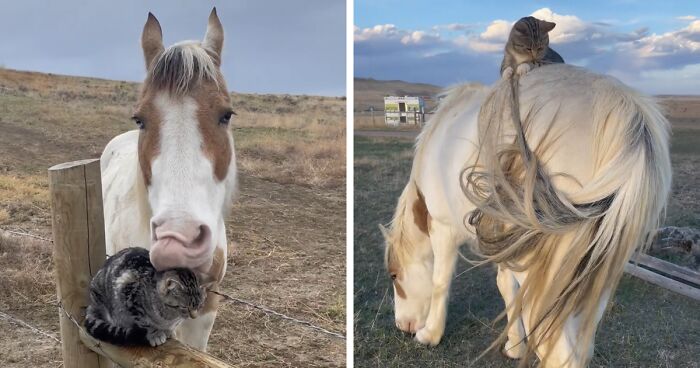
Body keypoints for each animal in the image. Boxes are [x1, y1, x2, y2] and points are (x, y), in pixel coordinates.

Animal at [382, 64, 672, 366]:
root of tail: (627, 119)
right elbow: (507, 288)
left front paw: (430, 335)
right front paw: (515, 346)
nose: (403, 326)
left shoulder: (443, 229)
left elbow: (440, 281)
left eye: (393, 275)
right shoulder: (506, 249)